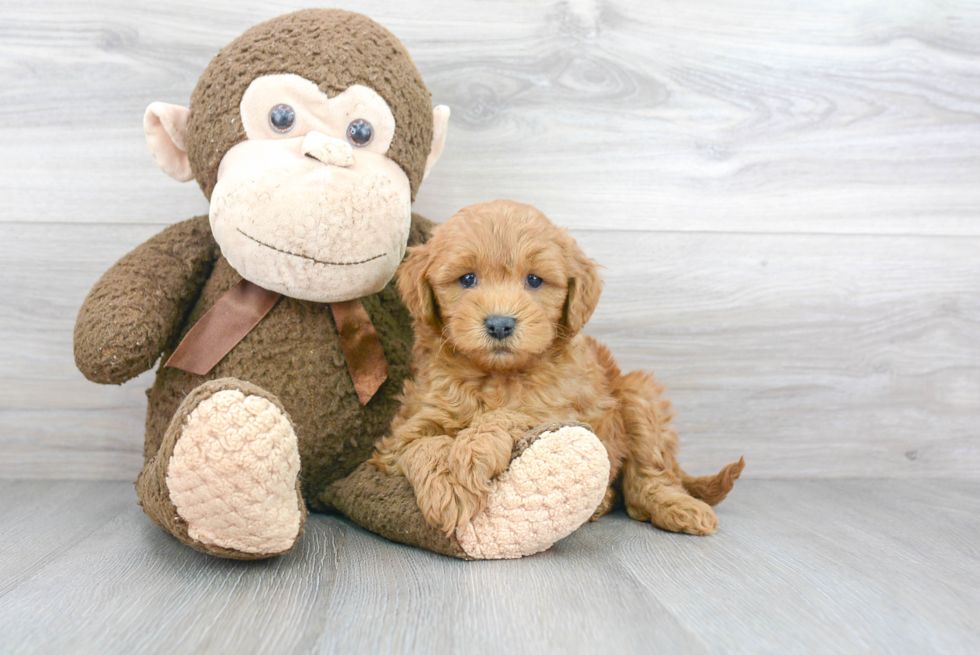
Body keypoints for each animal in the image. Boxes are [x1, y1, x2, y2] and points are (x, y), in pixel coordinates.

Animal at [374, 200, 744, 540]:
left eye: (534, 280)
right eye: (467, 279)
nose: (499, 324)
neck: (498, 375)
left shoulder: (560, 410)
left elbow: (508, 415)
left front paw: (471, 454)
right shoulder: (404, 432)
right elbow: (423, 445)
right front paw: (448, 487)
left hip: (638, 394)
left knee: (648, 476)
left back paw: (677, 506)